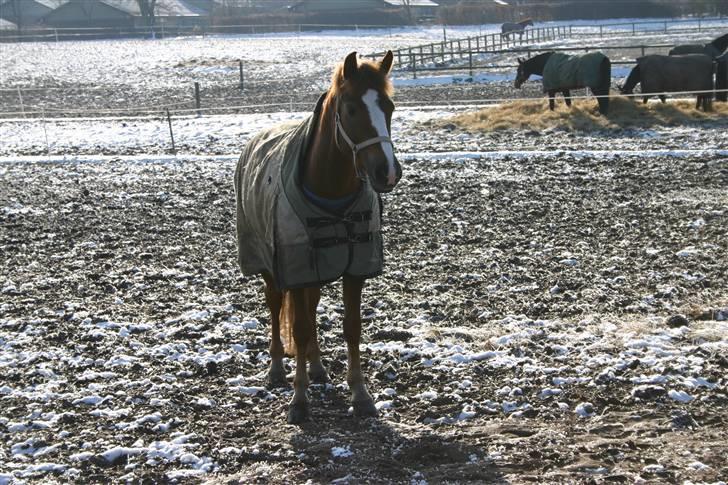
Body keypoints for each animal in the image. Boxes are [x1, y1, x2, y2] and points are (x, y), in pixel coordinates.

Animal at [235, 51, 400, 424]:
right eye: (351, 109)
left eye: (389, 107)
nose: (387, 172)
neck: (331, 191)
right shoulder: (294, 267)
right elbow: (297, 328)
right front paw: (299, 401)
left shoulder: (353, 269)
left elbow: (351, 326)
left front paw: (361, 396)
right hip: (270, 268)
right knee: (277, 308)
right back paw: (277, 370)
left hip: (316, 271)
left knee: (310, 310)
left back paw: (318, 367)